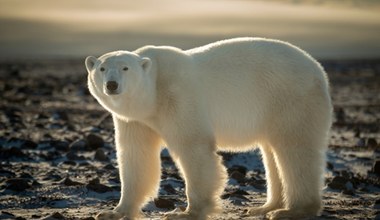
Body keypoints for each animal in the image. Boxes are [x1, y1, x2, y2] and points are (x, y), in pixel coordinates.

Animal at [84, 37, 332, 219]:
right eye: (102, 68)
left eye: (125, 68)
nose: (112, 85)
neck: (153, 93)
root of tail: (318, 69)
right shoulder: (135, 120)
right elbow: (136, 155)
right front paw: (113, 212)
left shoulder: (178, 96)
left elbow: (194, 146)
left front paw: (187, 212)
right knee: (272, 152)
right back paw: (265, 207)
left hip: (289, 97)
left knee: (294, 149)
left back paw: (292, 210)